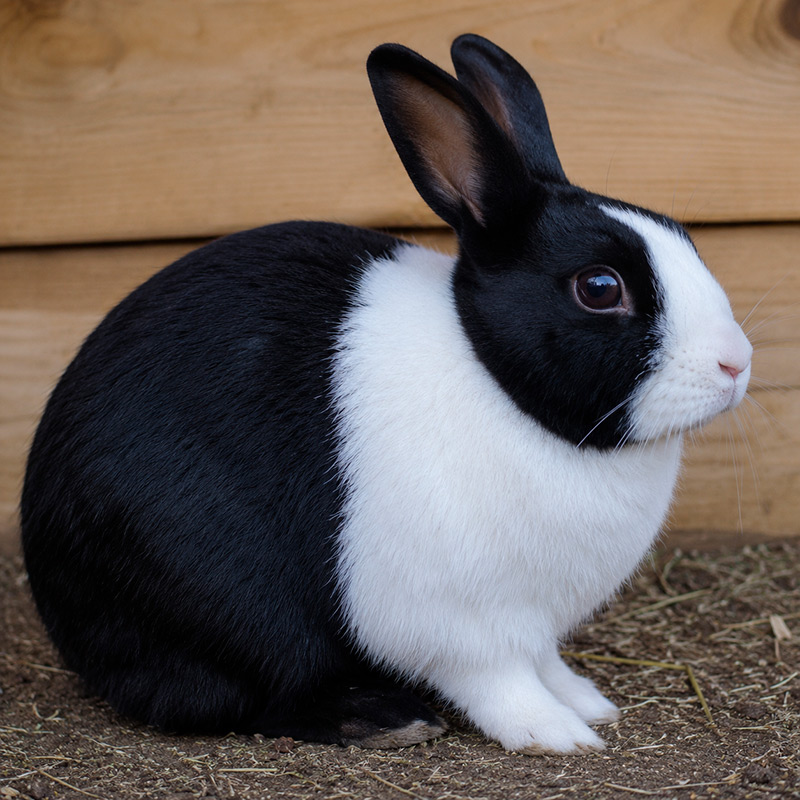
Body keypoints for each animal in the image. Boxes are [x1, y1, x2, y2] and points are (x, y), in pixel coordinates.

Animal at [20, 33, 752, 755]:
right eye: (599, 288)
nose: (736, 363)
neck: (499, 383)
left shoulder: (533, 623)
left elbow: (545, 662)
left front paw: (587, 702)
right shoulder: (462, 623)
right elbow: (500, 682)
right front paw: (556, 733)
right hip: (222, 604)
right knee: (238, 696)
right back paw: (385, 719)